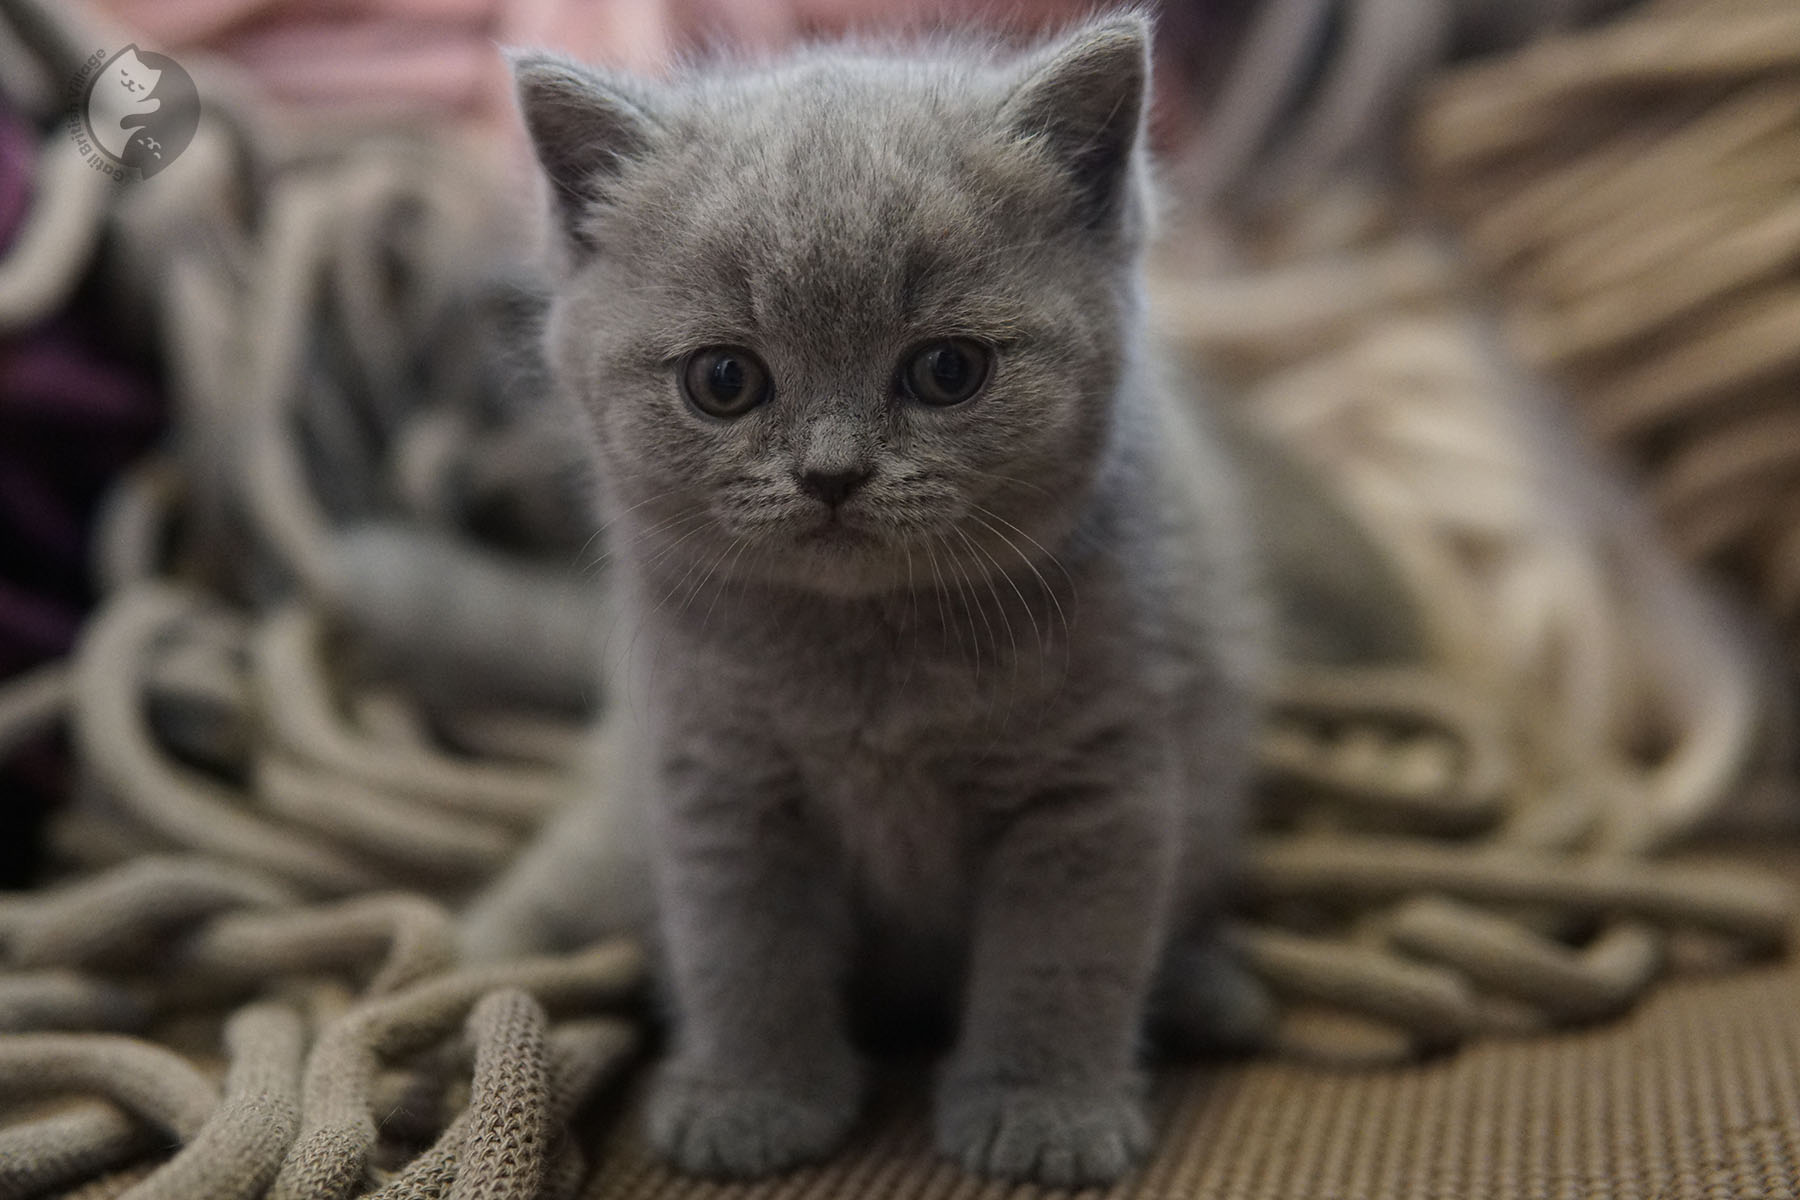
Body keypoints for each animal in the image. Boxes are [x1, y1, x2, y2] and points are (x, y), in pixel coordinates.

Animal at [468, 11, 1267, 1194]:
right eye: (723, 381)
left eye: (947, 371)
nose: (832, 474)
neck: (875, 667)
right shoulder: (722, 779)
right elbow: (741, 950)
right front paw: (753, 1100)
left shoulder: (1096, 781)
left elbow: (1066, 957)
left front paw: (1044, 1113)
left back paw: (1213, 991)